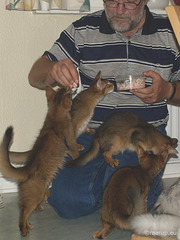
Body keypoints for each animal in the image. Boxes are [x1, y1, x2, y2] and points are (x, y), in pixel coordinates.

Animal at [0, 86, 79, 236]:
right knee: (24, 212)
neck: (54, 117)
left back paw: (29, 225)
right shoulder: (70, 140)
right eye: (67, 91)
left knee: (22, 209)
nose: (70, 87)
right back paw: (23, 230)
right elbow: (75, 150)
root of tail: (25, 170)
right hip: (35, 196)